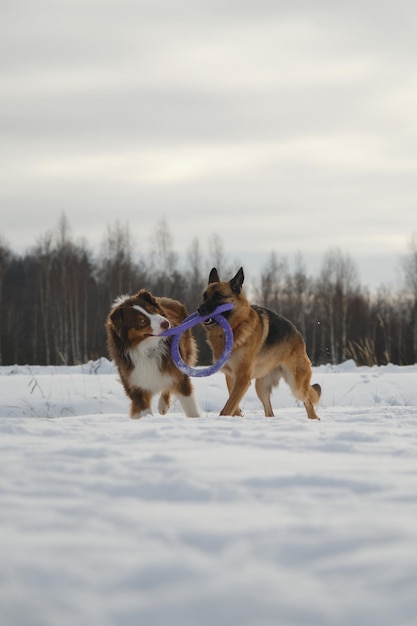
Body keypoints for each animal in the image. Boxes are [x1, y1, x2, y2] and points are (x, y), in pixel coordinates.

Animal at [105, 288, 200, 416]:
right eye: (141, 321)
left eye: (152, 310)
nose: (166, 323)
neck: (147, 348)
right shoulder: (135, 386)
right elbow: (143, 409)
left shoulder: (179, 376)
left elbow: (190, 407)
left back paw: (163, 405)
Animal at [197, 266, 320, 416]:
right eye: (204, 296)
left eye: (218, 296)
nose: (200, 309)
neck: (234, 329)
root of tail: (299, 336)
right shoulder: (231, 377)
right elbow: (233, 405)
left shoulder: (242, 379)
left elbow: (227, 408)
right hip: (261, 387)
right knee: (270, 412)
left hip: (296, 386)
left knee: (308, 402)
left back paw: (313, 418)